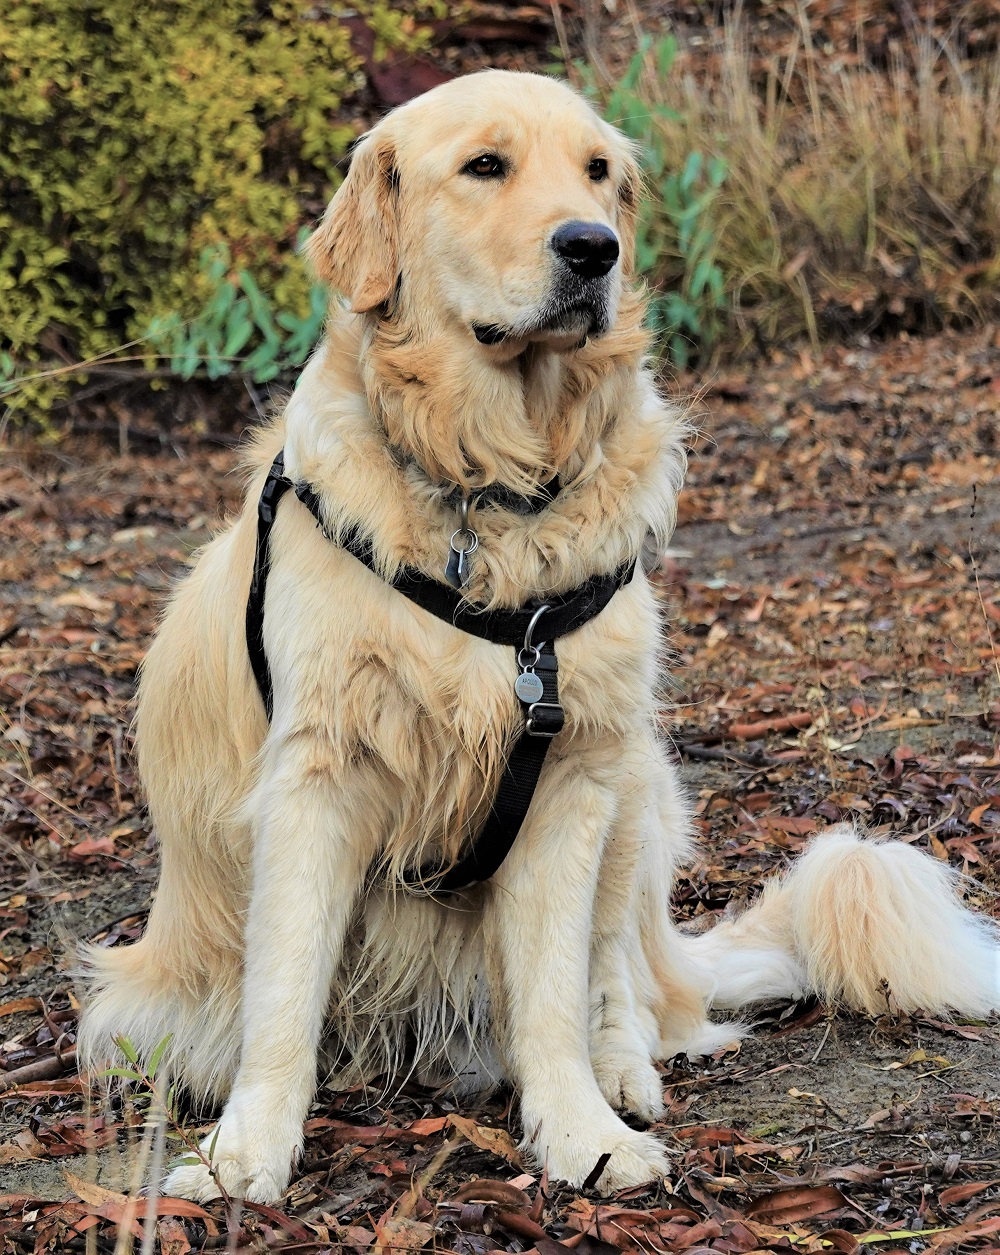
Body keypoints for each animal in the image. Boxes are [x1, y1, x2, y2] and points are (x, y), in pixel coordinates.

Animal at [79, 71, 998, 1204]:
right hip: (150, 1003)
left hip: (635, 785)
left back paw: (627, 1069)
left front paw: (580, 1129)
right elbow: (284, 988)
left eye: (600, 173)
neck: (490, 494)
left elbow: (555, 988)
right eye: (486, 166)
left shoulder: (568, 781)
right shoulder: (315, 777)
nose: (593, 247)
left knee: (627, 985)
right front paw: (247, 1149)